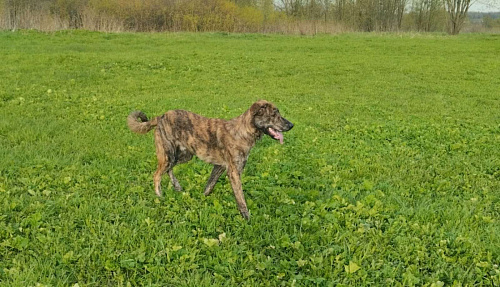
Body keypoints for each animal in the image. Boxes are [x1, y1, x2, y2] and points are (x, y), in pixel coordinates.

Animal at [127, 100, 294, 219]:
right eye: (274, 115)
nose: (291, 125)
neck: (243, 131)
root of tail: (161, 116)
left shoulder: (219, 167)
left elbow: (209, 186)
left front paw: (202, 200)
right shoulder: (234, 173)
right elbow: (240, 198)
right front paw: (247, 219)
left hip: (184, 155)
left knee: (169, 169)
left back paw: (177, 186)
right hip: (168, 154)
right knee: (157, 175)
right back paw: (159, 195)